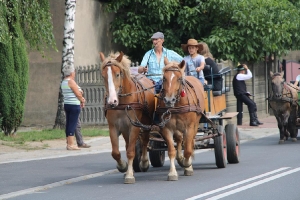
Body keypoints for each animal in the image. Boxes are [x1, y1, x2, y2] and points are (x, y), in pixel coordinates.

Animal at [99, 51, 155, 183]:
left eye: (118, 74)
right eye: (103, 76)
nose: (112, 101)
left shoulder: (134, 126)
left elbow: (130, 151)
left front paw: (129, 174)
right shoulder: (113, 127)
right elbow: (115, 152)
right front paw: (123, 166)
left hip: (146, 123)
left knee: (144, 141)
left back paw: (144, 162)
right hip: (125, 129)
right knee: (129, 143)